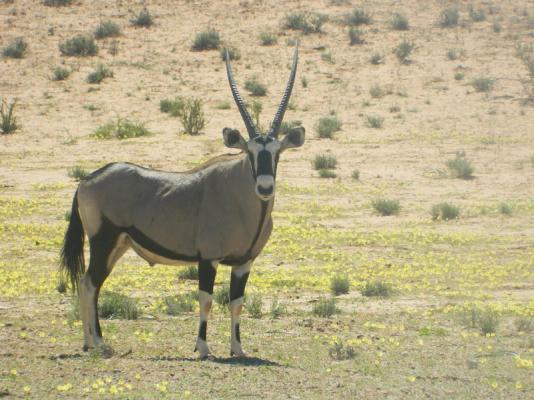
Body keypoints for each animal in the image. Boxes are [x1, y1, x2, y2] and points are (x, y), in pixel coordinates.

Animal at [60, 44, 306, 360]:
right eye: (250, 152)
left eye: (277, 153)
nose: (265, 187)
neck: (241, 199)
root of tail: (87, 180)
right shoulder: (208, 258)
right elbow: (206, 299)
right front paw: (202, 348)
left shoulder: (243, 263)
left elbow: (236, 303)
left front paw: (238, 348)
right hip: (103, 241)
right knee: (89, 283)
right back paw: (97, 343)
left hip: (118, 245)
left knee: (89, 284)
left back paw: (92, 341)